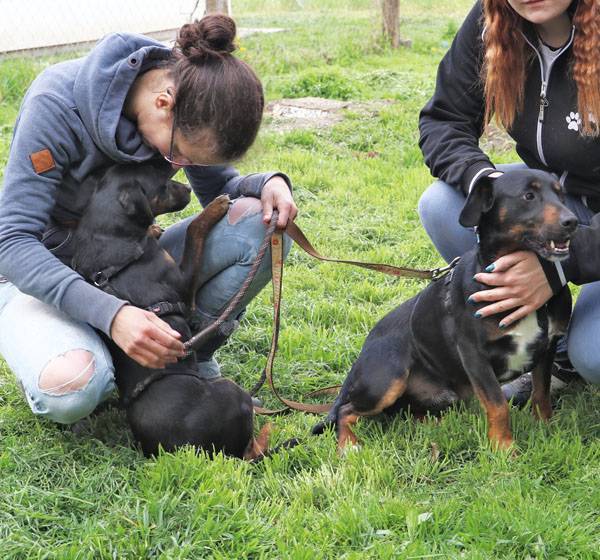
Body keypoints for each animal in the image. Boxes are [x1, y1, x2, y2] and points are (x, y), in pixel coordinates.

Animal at [71, 160, 269, 459]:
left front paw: (153, 229)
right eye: (163, 185)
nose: (187, 189)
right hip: (232, 391)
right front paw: (214, 208)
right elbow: (193, 234)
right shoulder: (184, 286)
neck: (109, 234)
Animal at [313, 169, 577, 451]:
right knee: (346, 410)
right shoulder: (474, 355)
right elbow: (497, 405)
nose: (572, 221)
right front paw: (503, 448)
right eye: (529, 196)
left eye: (561, 194)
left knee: (407, 414)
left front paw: (544, 426)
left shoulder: (547, 345)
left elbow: (541, 392)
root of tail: (360, 360)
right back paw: (349, 444)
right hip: (385, 381)